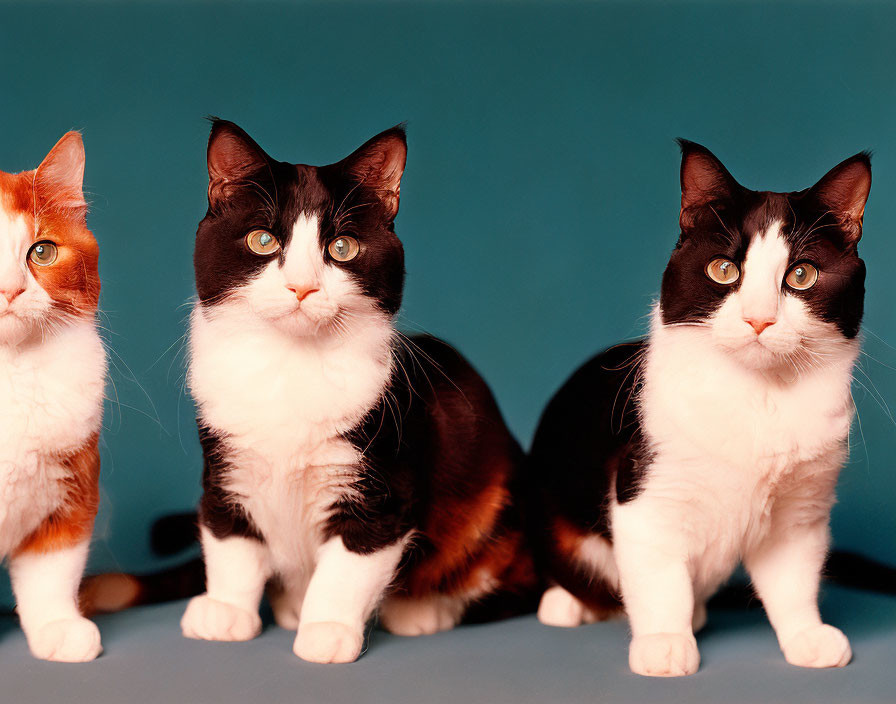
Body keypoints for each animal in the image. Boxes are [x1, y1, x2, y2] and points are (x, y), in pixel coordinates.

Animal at [178, 122, 536, 664]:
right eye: (262, 240)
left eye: (342, 248)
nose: (302, 287)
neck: (291, 366)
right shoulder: (224, 462)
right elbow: (228, 536)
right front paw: (226, 610)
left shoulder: (383, 480)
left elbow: (351, 561)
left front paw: (326, 629)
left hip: (496, 505)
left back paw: (421, 609)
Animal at [528, 142, 872, 676]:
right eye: (724, 270)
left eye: (802, 275)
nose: (759, 319)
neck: (759, 396)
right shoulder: (647, 495)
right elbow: (659, 578)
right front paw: (665, 642)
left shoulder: (799, 514)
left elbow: (793, 581)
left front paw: (806, 636)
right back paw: (568, 604)